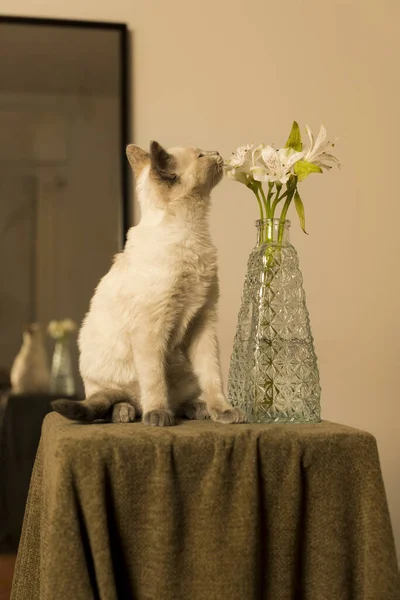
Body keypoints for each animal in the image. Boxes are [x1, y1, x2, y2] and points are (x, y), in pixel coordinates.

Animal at [52, 141, 247, 426]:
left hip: (184, 369)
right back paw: (130, 412)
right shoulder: (151, 326)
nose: (219, 154)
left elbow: (212, 376)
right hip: (107, 374)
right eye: (201, 155)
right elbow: (155, 380)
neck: (193, 232)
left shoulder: (203, 319)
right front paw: (158, 415)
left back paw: (196, 408)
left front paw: (222, 411)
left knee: (178, 398)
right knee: (114, 399)